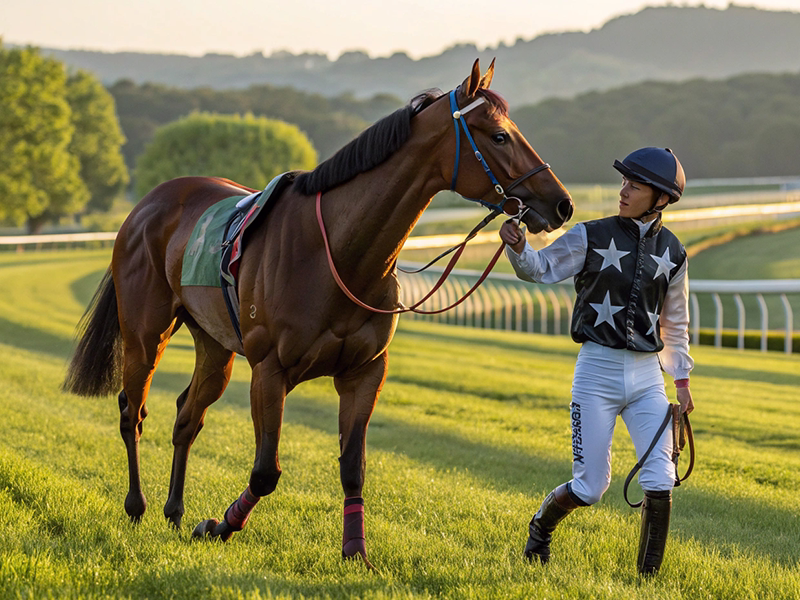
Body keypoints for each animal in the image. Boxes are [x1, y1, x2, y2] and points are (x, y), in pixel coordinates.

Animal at [63, 59, 573, 567]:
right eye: (499, 135)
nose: (562, 203)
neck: (340, 256)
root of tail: (146, 205)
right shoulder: (269, 370)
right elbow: (265, 471)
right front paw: (219, 525)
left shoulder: (364, 371)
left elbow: (353, 469)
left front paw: (356, 553)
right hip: (144, 333)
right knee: (132, 410)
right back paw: (138, 505)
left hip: (215, 346)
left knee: (187, 417)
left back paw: (173, 510)